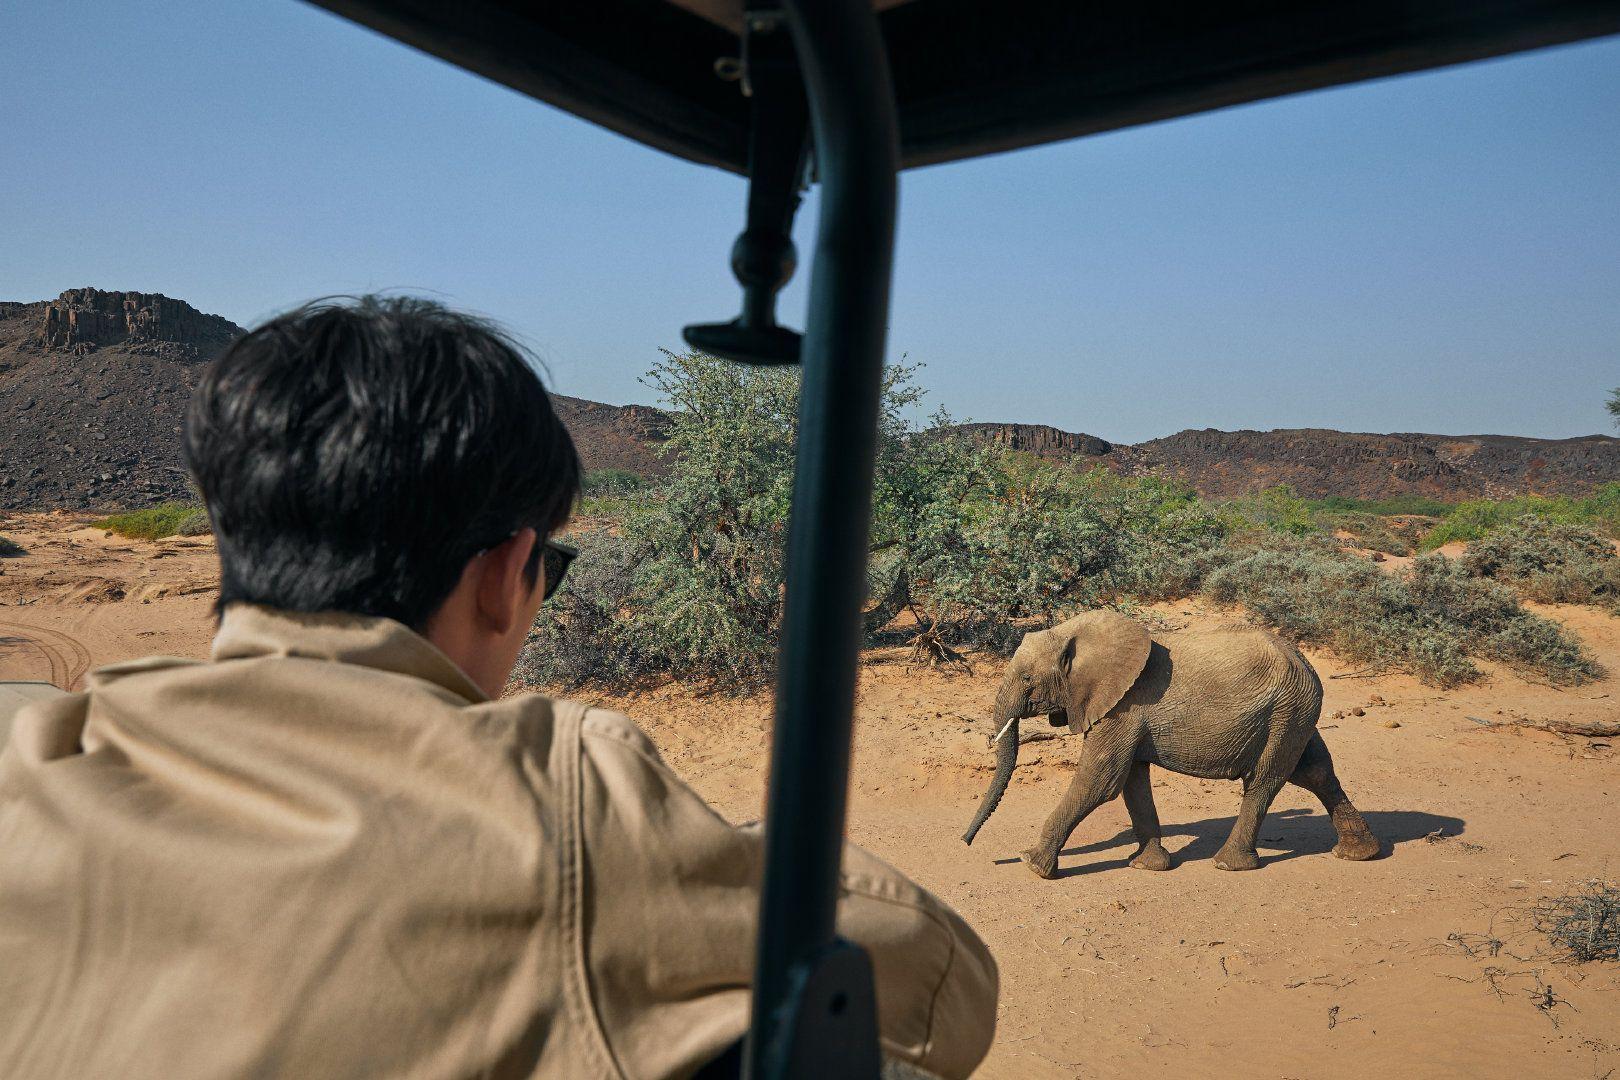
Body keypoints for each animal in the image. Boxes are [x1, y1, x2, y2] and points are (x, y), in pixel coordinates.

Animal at [959, 608, 1380, 880]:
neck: (1075, 634)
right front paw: (1149, 866)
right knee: (1315, 772)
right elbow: (1131, 782)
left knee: (1264, 781)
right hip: (1295, 712)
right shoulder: (1126, 715)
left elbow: (1100, 781)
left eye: (1027, 679)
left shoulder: (1123, 707)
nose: (964, 841)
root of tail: (1306, 661)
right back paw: (1360, 854)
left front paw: (1031, 864)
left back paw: (1227, 864)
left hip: (1286, 712)